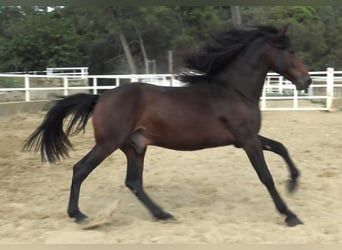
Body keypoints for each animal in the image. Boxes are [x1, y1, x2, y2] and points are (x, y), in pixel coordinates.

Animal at [24, 25, 312, 227]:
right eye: (291, 52)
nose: (306, 81)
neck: (234, 91)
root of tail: (101, 97)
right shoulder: (247, 140)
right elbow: (266, 176)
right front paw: (290, 215)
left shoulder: (245, 138)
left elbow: (281, 147)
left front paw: (293, 183)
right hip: (108, 144)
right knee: (81, 169)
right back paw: (79, 215)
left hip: (135, 147)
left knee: (134, 182)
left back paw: (163, 214)